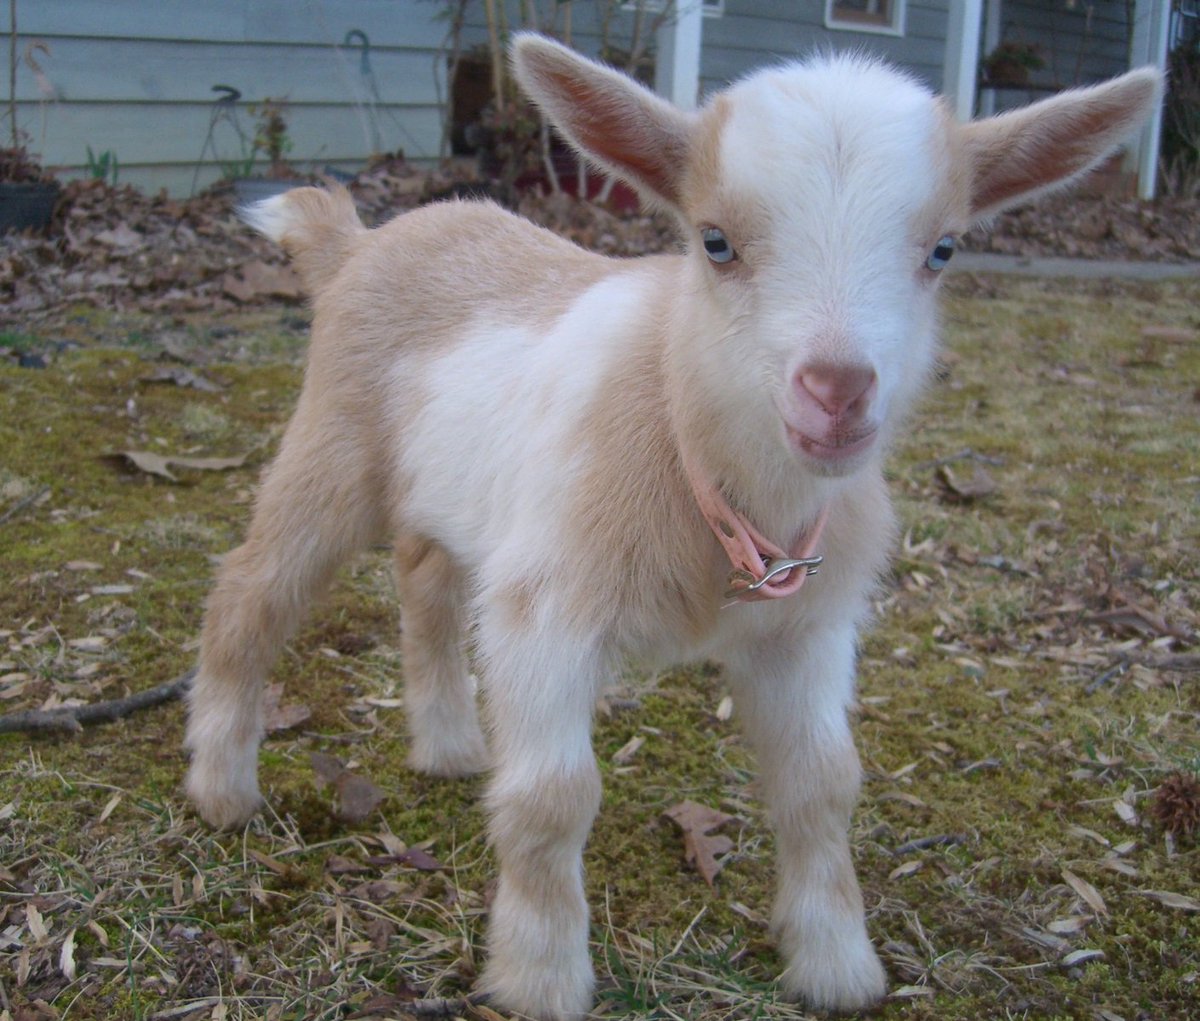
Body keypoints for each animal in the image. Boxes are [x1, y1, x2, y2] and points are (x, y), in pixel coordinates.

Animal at [184, 34, 1162, 1019]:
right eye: (715, 241)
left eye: (944, 249)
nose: (837, 393)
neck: (700, 457)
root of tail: (359, 241)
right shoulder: (546, 608)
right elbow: (552, 796)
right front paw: (540, 976)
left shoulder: (807, 626)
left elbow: (823, 782)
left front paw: (836, 962)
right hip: (332, 451)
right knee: (249, 591)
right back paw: (222, 787)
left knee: (425, 577)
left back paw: (451, 747)